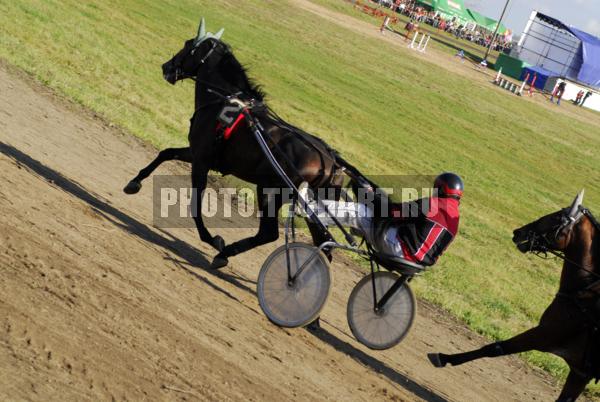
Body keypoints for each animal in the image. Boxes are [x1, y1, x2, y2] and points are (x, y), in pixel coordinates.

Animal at [122, 20, 350, 268]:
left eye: (188, 45)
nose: (166, 67)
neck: (224, 101)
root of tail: (329, 159)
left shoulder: (201, 160)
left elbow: (195, 206)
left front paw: (212, 239)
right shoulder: (198, 153)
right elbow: (166, 153)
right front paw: (134, 183)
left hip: (270, 190)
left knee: (269, 233)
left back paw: (226, 252)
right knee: (321, 242)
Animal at [428, 190, 600, 400]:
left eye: (557, 217)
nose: (519, 232)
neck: (585, 296)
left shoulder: (545, 334)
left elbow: (495, 348)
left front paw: (445, 357)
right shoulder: (579, 372)